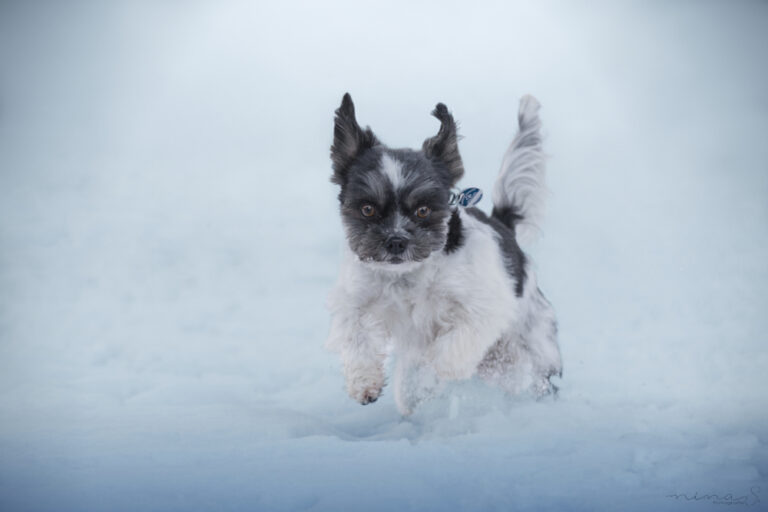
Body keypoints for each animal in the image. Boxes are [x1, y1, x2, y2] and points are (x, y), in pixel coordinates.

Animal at [326, 93, 564, 416]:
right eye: (367, 209)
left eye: (423, 210)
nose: (396, 241)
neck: (409, 275)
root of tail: (504, 224)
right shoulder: (357, 300)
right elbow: (357, 333)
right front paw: (365, 383)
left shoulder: (485, 306)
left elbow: (453, 346)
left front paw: (436, 372)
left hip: (533, 337)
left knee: (533, 372)